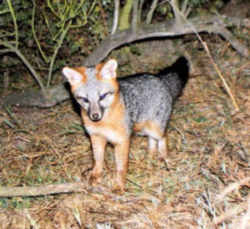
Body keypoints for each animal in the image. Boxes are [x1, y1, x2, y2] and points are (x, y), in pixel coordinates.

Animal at [63, 56, 189, 192]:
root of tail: (159, 78)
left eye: (102, 96)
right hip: (144, 129)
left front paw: (119, 186)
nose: (94, 116)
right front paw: (95, 176)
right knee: (152, 141)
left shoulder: (122, 140)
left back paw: (163, 158)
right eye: (85, 100)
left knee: (163, 138)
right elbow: (98, 160)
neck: (104, 123)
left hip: (155, 129)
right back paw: (149, 157)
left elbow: (121, 167)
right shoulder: (96, 137)